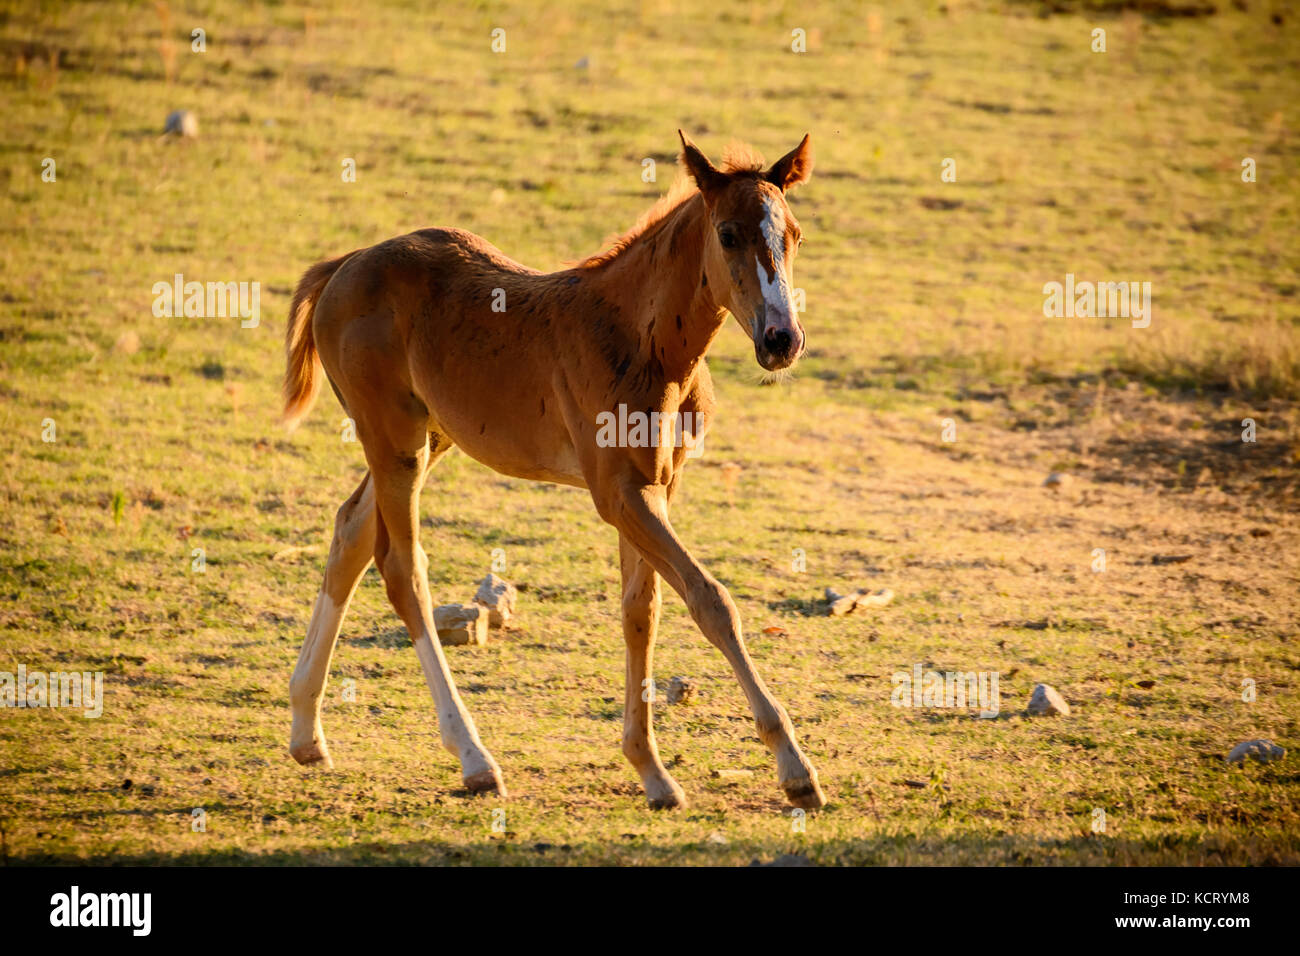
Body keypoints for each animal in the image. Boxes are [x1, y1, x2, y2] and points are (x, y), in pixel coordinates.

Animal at [289, 130, 826, 811]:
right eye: (727, 234)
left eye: (795, 234)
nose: (783, 339)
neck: (646, 342)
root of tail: (344, 265)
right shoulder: (617, 492)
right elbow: (710, 600)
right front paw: (795, 768)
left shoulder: (658, 486)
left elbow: (640, 612)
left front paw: (652, 771)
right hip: (395, 441)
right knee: (402, 569)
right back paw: (474, 759)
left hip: (431, 437)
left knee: (351, 531)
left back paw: (306, 731)